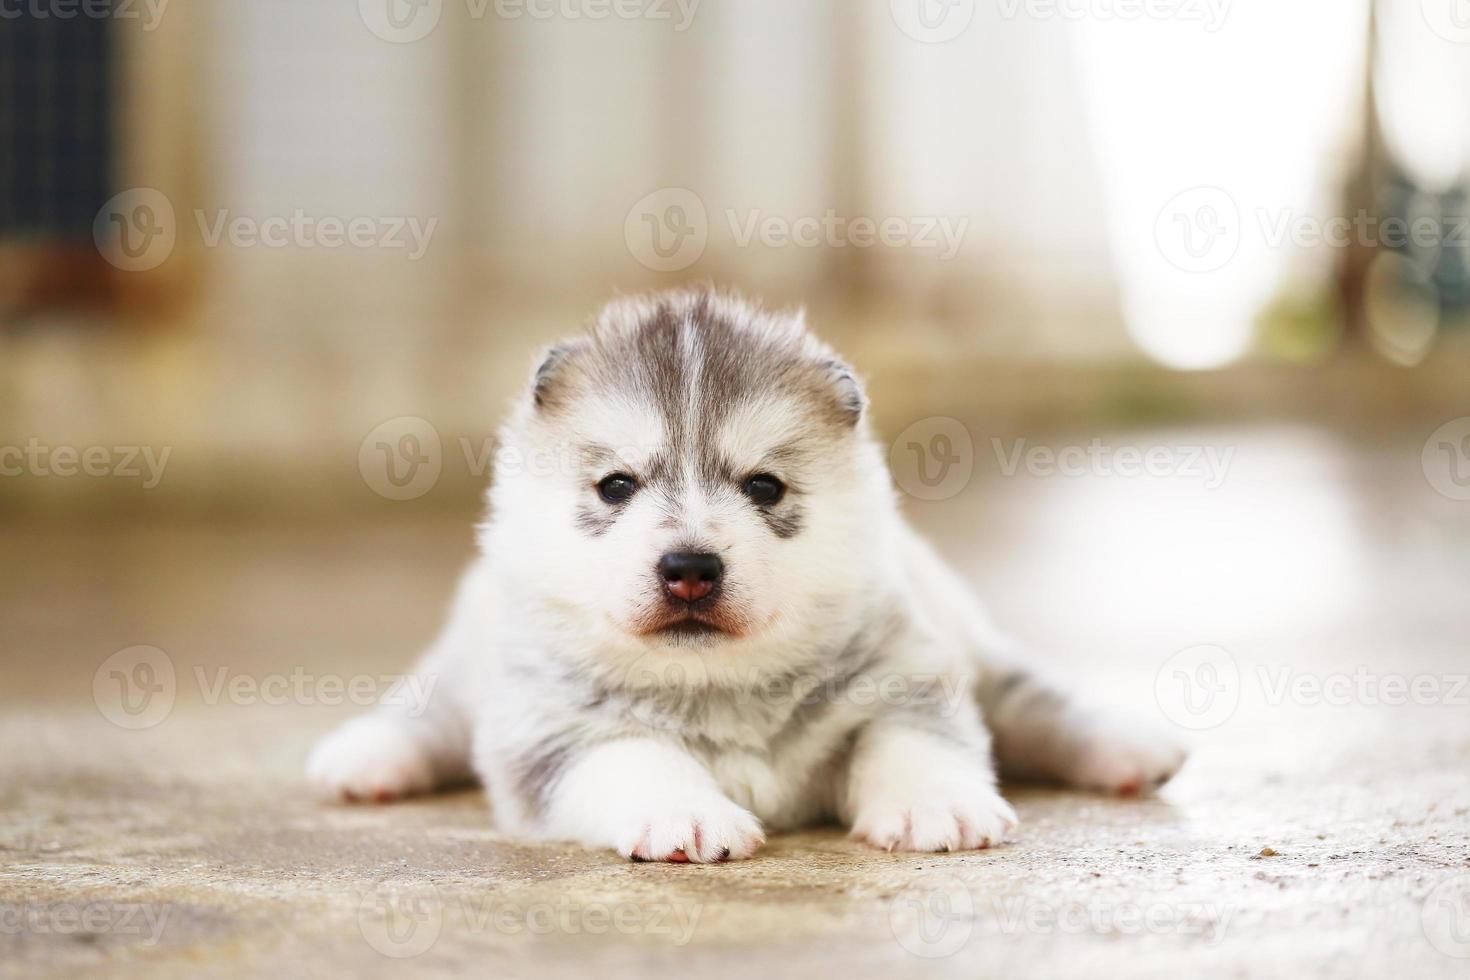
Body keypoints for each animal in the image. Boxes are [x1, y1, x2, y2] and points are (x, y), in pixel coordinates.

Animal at [310, 287, 1181, 863]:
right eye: (616, 486)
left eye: (764, 487)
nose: (690, 567)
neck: (716, 687)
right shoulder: (551, 730)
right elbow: (634, 754)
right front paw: (685, 813)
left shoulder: (903, 673)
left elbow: (908, 738)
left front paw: (935, 803)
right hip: (463, 669)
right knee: (428, 713)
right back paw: (365, 759)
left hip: (979, 651)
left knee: (1036, 703)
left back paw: (1128, 747)